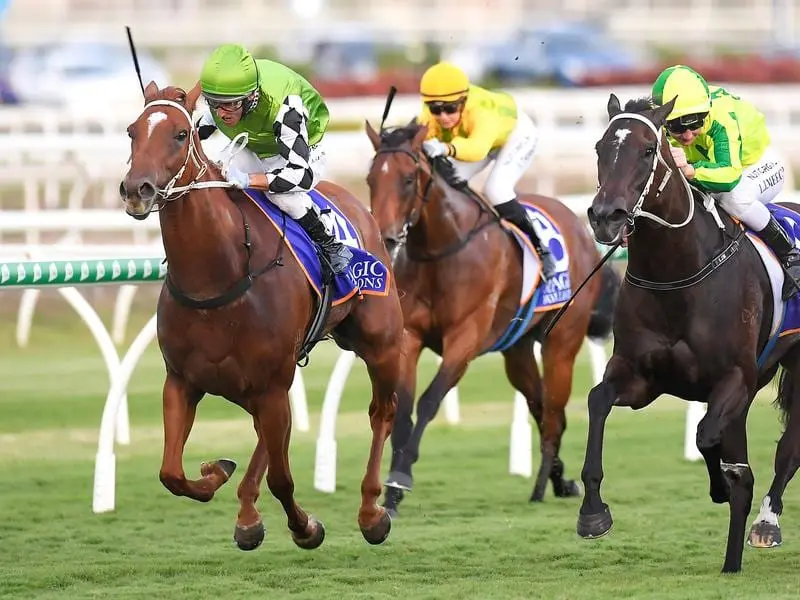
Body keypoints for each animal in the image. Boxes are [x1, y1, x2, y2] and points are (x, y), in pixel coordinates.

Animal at [119, 82, 406, 552]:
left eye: (180, 134)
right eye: (131, 131)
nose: (135, 189)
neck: (216, 279)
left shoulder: (270, 384)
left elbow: (283, 480)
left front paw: (306, 527)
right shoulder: (182, 381)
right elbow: (171, 473)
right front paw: (215, 472)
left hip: (381, 342)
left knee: (381, 412)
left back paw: (371, 512)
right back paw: (247, 513)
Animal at [362, 122, 620, 516]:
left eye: (407, 179)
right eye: (371, 179)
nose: (387, 237)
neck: (440, 251)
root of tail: (578, 226)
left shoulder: (465, 338)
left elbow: (429, 401)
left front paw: (401, 475)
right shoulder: (410, 336)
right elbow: (403, 408)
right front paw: (391, 493)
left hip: (562, 342)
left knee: (554, 413)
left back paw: (543, 484)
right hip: (517, 350)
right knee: (541, 406)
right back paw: (559, 479)